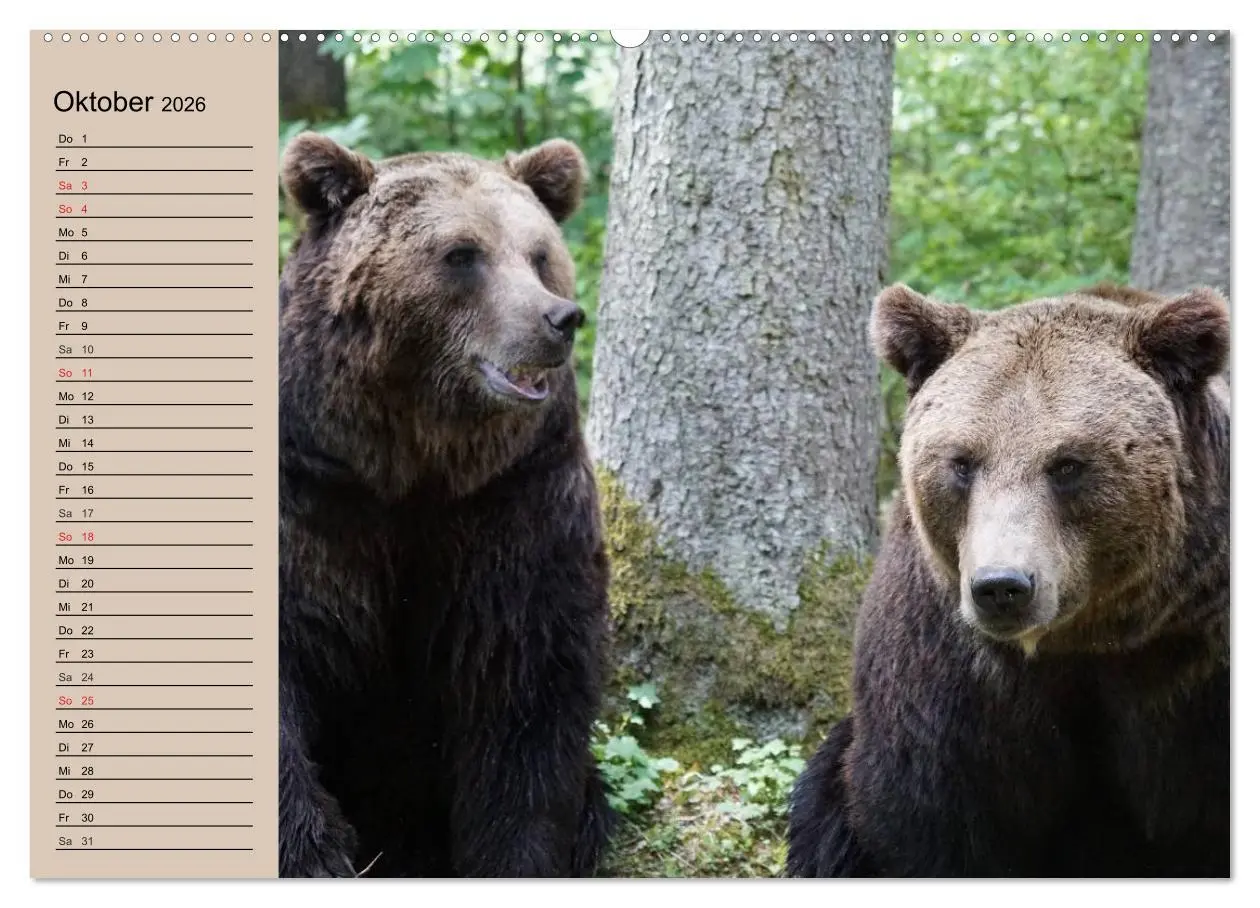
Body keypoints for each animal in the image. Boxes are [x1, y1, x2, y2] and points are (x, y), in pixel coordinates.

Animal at [276, 132, 614, 877]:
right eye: (463, 254)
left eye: (539, 254)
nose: (559, 318)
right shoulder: (313, 495)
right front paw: (319, 855)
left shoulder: (514, 498)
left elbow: (524, 679)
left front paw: (516, 856)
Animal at [788, 281, 1230, 877]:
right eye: (962, 462)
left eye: (1067, 463)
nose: (1002, 586)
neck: (1084, 641)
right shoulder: (953, 666)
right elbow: (932, 813)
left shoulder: (1192, 659)